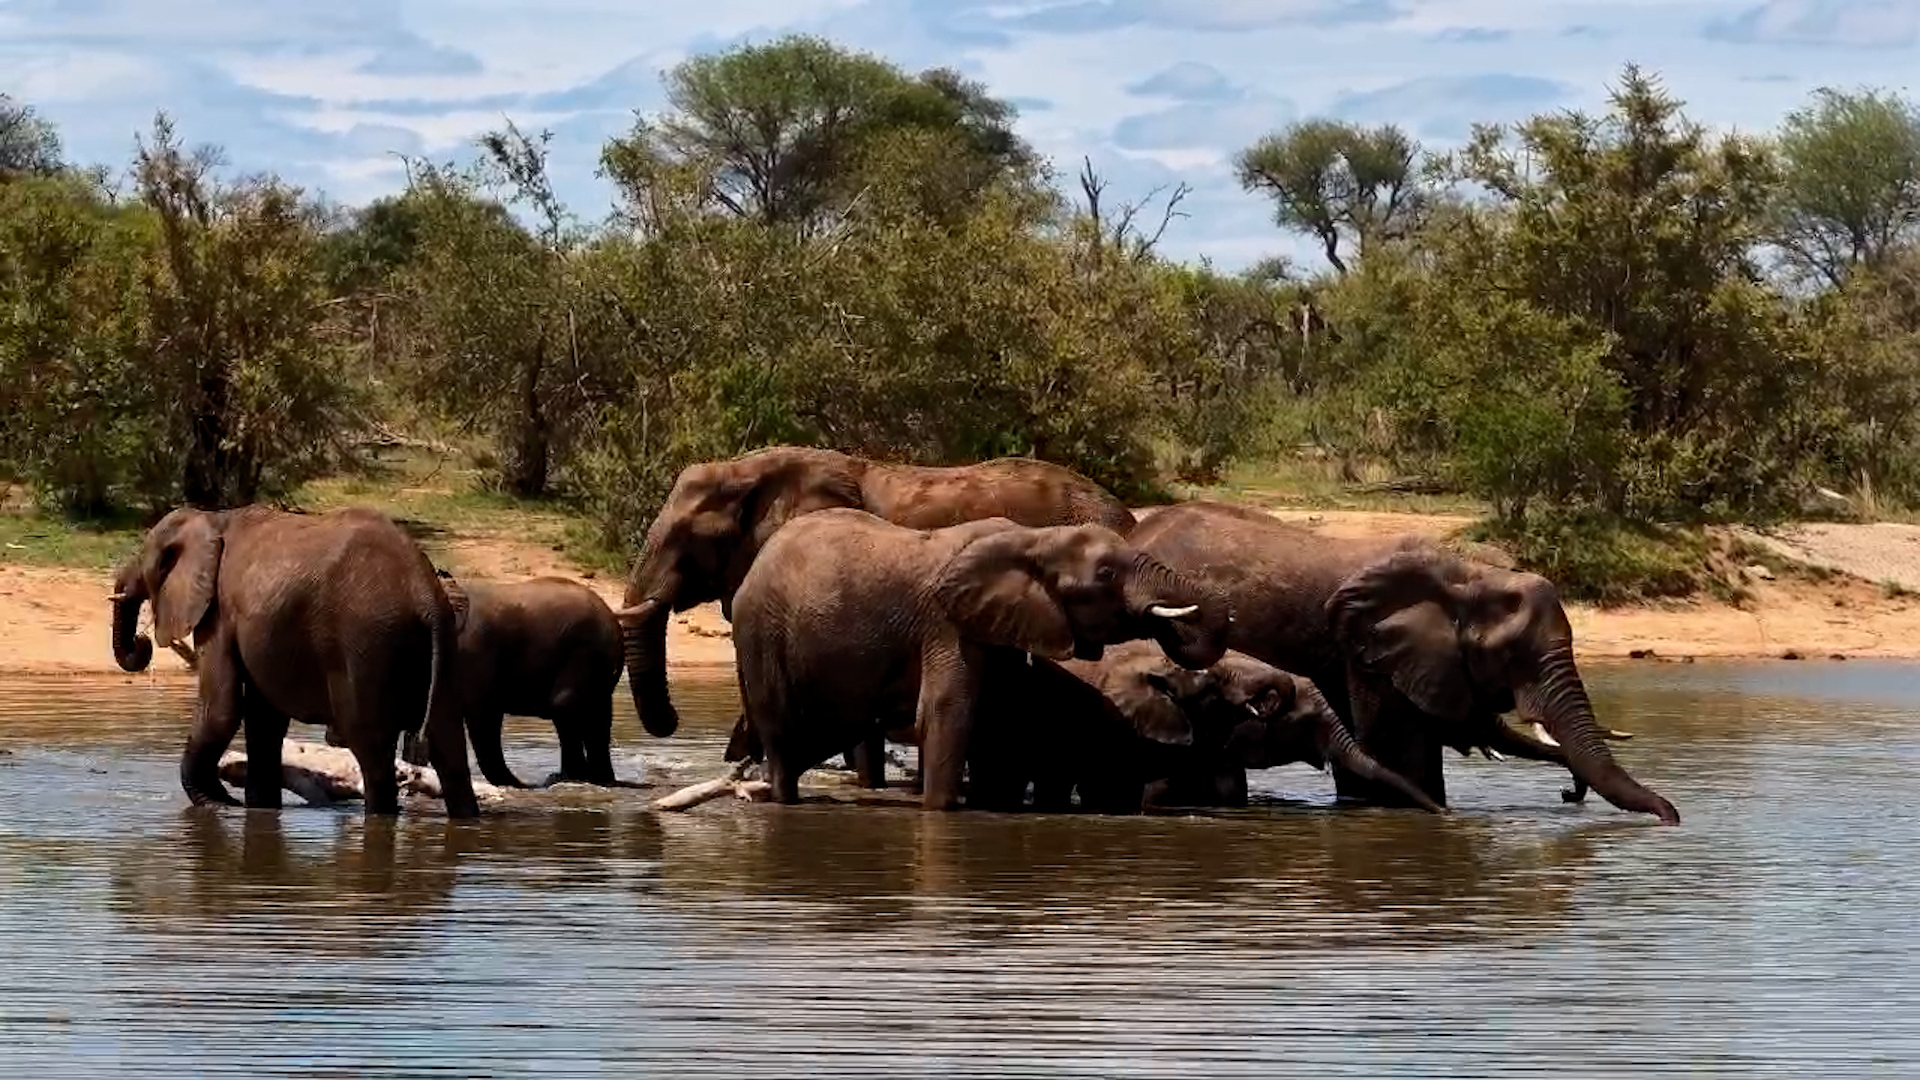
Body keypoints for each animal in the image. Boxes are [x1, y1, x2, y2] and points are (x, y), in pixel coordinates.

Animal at [109, 505, 479, 818]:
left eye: (147, 561)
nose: (141, 643)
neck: (212, 518)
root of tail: (425, 595)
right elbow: (264, 719)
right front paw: (259, 811)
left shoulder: (219, 612)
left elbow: (222, 708)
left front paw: (221, 805)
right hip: (442, 648)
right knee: (449, 749)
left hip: (365, 645)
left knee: (372, 751)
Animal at [399, 573, 623, 788]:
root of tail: (614, 621)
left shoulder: (472, 649)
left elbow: (483, 710)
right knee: (597, 715)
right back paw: (597, 780)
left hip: (585, 651)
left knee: (565, 706)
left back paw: (568, 779)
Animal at [729, 507, 1230, 809]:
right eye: (1106, 574)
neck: (1033, 539)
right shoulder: (946, 623)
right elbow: (948, 713)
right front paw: (941, 812)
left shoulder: (1001, 627)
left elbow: (1000, 717)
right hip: (760, 635)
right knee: (780, 738)